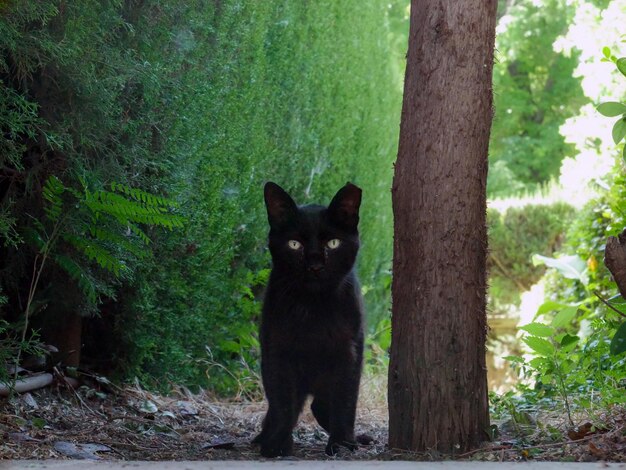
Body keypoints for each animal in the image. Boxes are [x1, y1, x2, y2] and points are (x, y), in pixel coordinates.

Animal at [251, 182, 364, 458]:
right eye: (294, 244)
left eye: (333, 243)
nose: (314, 265)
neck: (314, 309)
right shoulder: (278, 350)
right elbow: (282, 401)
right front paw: (276, 444)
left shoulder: (349, 350)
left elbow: (345, 399)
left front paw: (342, 443)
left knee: (321, 405)